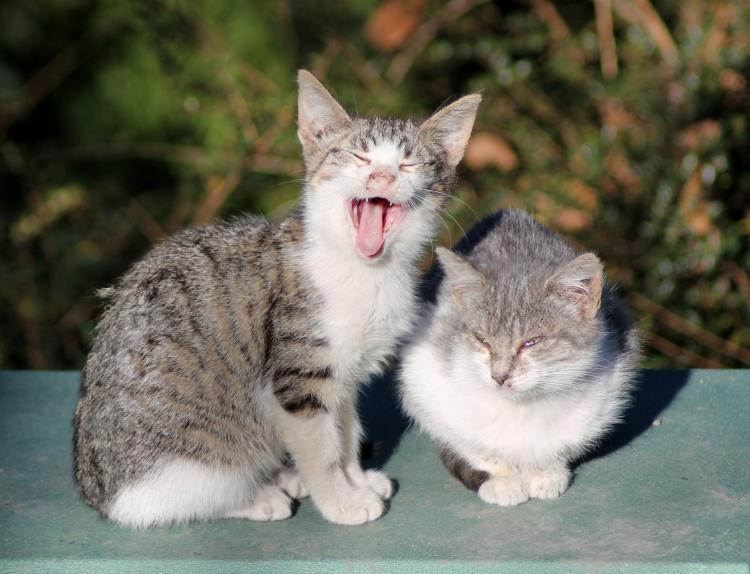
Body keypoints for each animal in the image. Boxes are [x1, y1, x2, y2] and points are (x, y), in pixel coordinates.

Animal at [72, 70, 482, 528]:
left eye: (408, 164)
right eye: (357, 157)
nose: (382, 179)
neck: (365, 271)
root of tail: (96, 491)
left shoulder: (344, 373)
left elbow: (345, 429)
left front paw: (356, 479)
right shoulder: (298, 374)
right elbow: (320, 447)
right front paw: (341, 500)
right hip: (189, 457)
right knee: (177, 498)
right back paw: (259, 496)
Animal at [400, 212, 640, 508]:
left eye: (531, 342)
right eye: (482, 340)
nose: (499, 376)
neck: (522, 409)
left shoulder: (607, 392)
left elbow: (559, 446)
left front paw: (545, 472)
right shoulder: (425, 379)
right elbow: (473, 445)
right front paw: (502, 479)